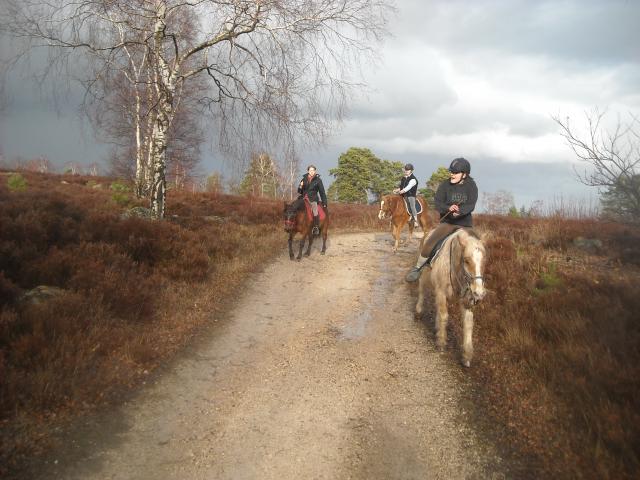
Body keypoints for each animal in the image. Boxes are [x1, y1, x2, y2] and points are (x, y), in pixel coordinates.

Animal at [412, 229, 488, 368]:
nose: (479, 293)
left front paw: (466, 356)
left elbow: (468, 323)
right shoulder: (441, 292)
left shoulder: (466, 299)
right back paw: (418, 312)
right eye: (467, 260)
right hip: (424, 275)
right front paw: (441, 343)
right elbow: (444, 316)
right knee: (421, 291)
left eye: (484, 261)